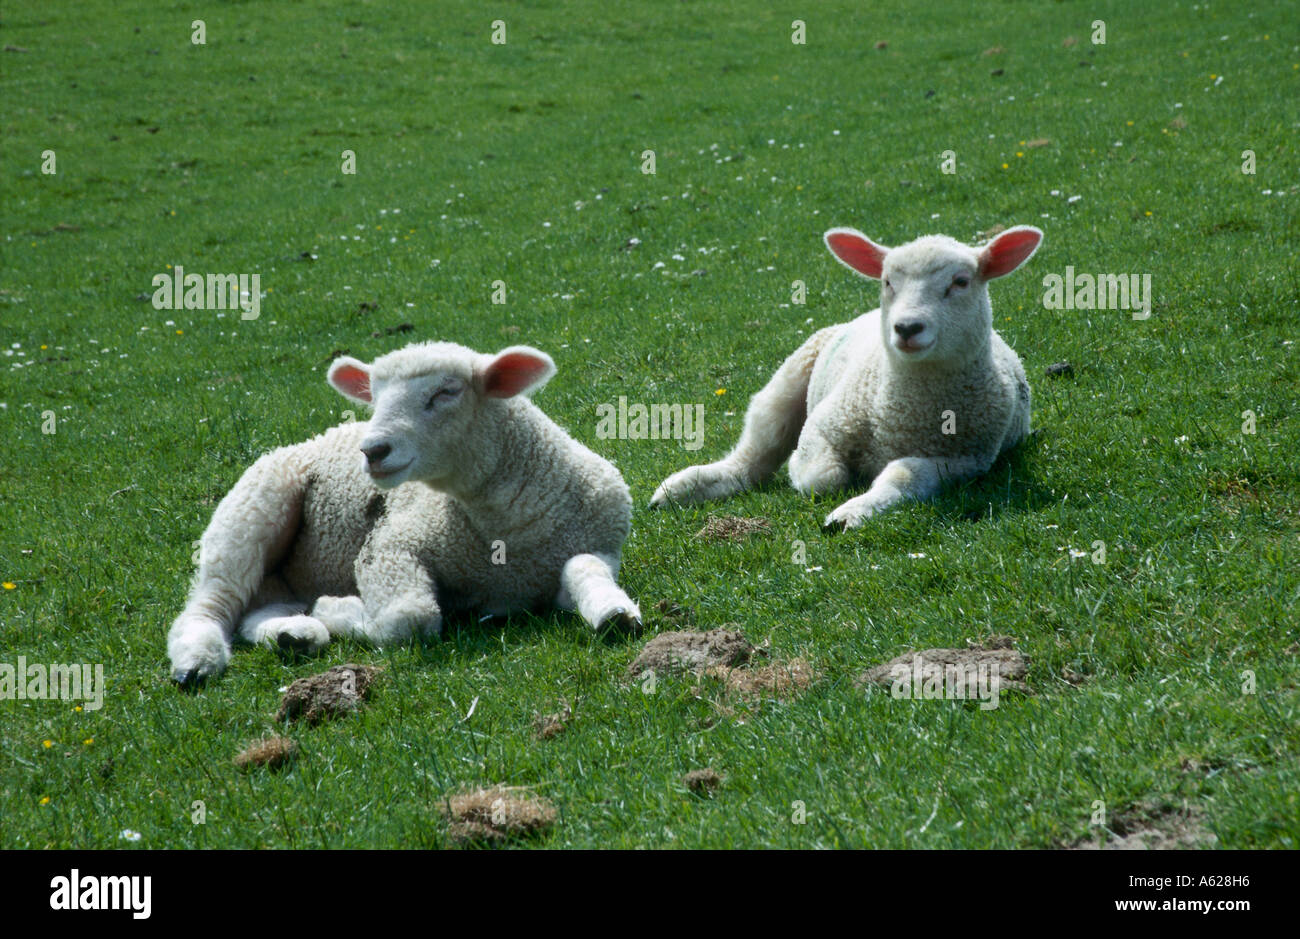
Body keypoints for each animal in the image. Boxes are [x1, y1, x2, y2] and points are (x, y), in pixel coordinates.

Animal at [167, 338, 644, 681]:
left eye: (446, 392)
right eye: (373, 399)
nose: (373, 451)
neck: (510, 532)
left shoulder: (600, 545)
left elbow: (584, 569)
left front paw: (614, 612)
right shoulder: (392, 545)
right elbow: (408, 618)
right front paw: (339, 610)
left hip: (275, 567)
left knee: (255, 609)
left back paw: (292, 634)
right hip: (252, 511)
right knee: (213, 602)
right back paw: (198, 659)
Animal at [650, 221, 1045, 525]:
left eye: (960, 281)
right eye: (887, 282)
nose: (907, 327)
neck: (904, 416)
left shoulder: (964, 461)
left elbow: (903, 476)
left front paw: (850, 513)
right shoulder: (822, 427)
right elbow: (822, 477)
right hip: (792, 376)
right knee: (754, 455)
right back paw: (680, 489)